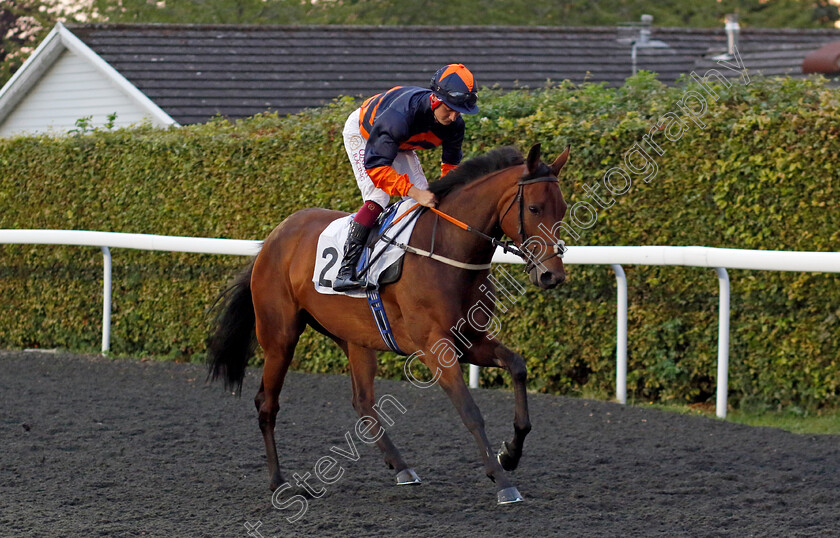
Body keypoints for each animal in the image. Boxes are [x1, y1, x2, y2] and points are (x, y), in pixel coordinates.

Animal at [208, 142, 572, 502]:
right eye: (535, 208)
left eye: (563, 208)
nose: (551, 275)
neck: (447, 250)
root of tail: (272, 238)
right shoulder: (435, 347)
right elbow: (470, 412)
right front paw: (502, 481)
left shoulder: (470, 339)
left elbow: (517, 366)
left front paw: (510, 453)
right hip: (280, 336)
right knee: (267, 402)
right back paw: (279, 482)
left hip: (353, 337)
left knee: (363, 401)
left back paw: (402, 467)